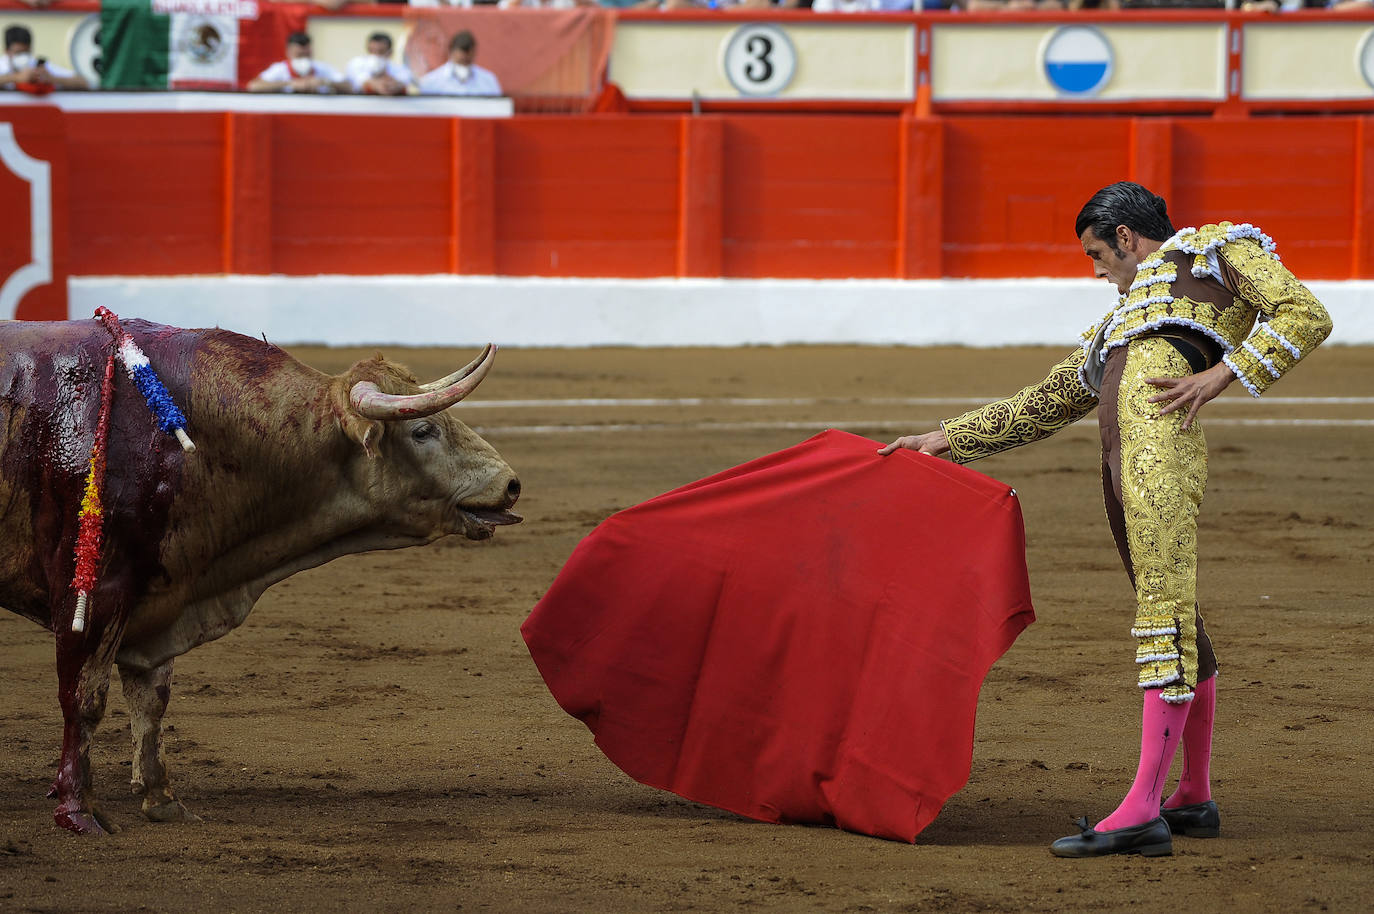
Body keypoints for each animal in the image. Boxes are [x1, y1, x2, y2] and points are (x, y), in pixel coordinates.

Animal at [0, 318, 522, 835]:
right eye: (423, 430)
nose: (511, 484)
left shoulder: (160, 594)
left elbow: (151, 701)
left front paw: (162, 800)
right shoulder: (91, 592)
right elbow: (83, 699)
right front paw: (77, 810)